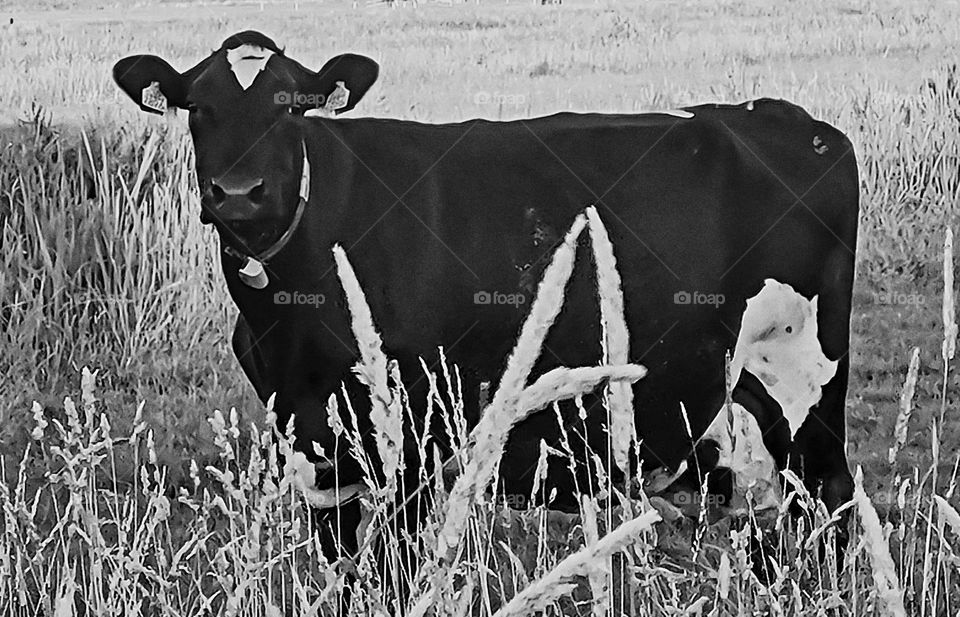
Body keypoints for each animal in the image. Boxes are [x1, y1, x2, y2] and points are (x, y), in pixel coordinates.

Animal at [113, 31, 859, 570]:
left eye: (292, 105)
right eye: (196, 105)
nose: (239, 192)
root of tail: (793, 120)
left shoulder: (411, 448)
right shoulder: (318, 448)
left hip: (808, 381)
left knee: (833, 498)